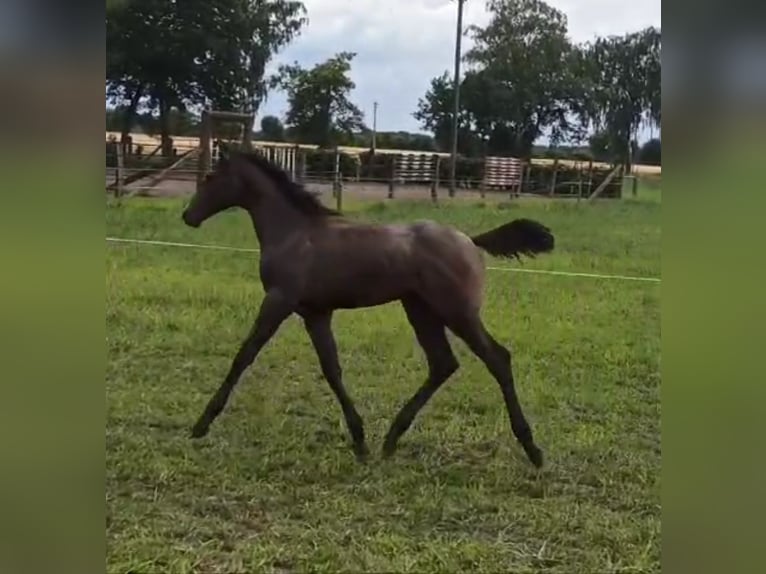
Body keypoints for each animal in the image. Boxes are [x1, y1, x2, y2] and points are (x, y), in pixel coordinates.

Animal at [183, 144, 556, 468]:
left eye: (211, 178)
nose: (188, 216)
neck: (294, 233)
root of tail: (470, 240)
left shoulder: (279, 300)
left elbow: (244, 355)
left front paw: (201, 424)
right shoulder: (316, 313)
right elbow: (332, 369)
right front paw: (360, 440)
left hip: (457, 312)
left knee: (497, 359)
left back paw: (532, 449)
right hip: (420, 310)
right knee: (443, 364)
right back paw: (391, 439)